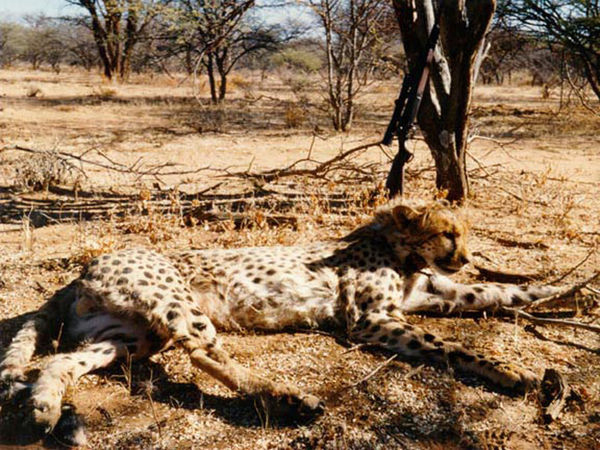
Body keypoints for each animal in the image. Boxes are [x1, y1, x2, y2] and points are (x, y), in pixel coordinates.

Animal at [0, 199, 561, 445]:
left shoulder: (430, 295)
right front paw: (513, 371)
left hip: (128, 336)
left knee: (59, 361)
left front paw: (559, 291)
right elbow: (449, 345)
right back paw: (289, 398)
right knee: (203, 352)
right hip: (174, 304)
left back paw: (45, 406)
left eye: (465, 234)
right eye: (448, 233)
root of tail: (83, 269)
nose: (464, 257)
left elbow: (493, 293)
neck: (398, 249)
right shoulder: (370, 319)